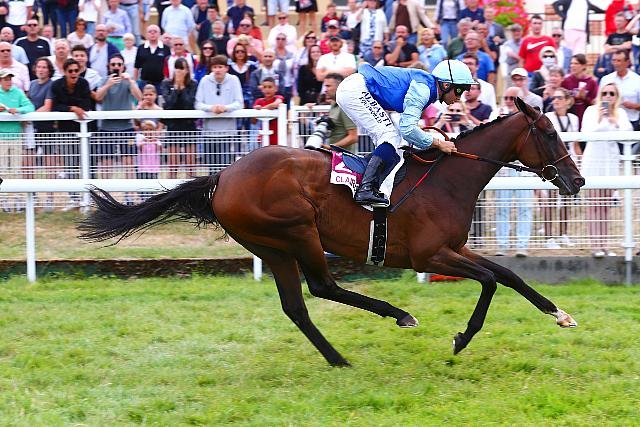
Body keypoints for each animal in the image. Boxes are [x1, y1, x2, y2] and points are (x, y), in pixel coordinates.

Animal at [79, 98, 585, 366]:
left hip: (272, 246)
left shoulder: (454, 248)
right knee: (322, 286)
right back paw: (398, 314)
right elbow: (490, 281)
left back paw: (337, 356)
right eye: (550, 135)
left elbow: (508, 275)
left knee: (297, 306)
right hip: (297, 230)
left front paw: (560, 314)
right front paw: (462, 338)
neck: (446, 179)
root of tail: (222, 177)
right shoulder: (429, 256)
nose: (577, 180)